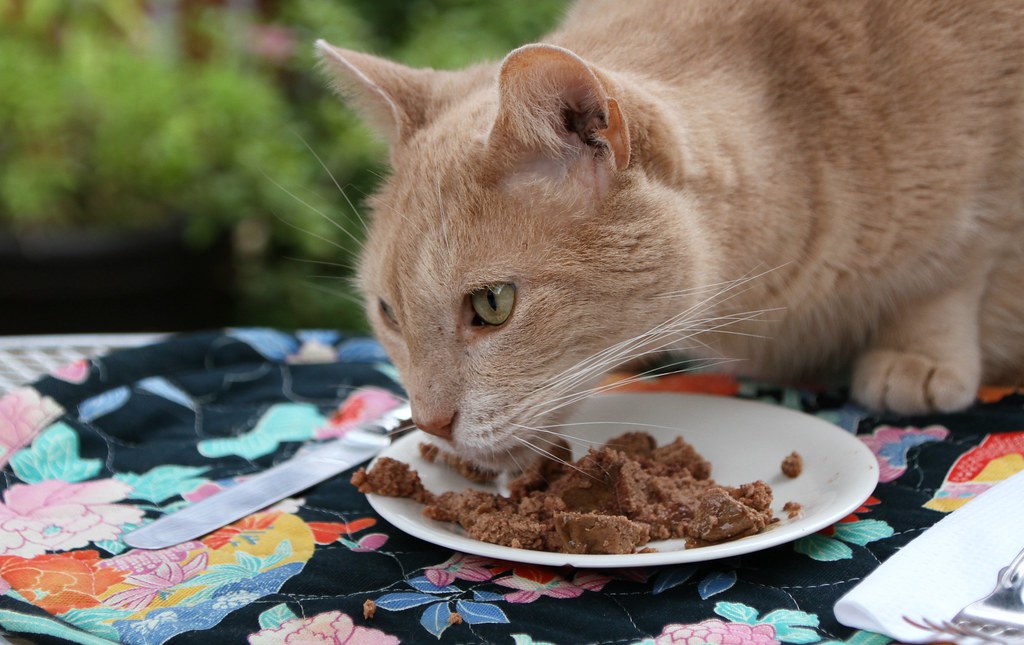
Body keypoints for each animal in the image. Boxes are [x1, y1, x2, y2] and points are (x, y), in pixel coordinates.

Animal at [315, 0, 1019, 470]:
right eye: (388, 313)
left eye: (493, 305)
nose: (428, 425)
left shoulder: (981, 195)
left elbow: (953, 271)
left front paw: (917, 355)